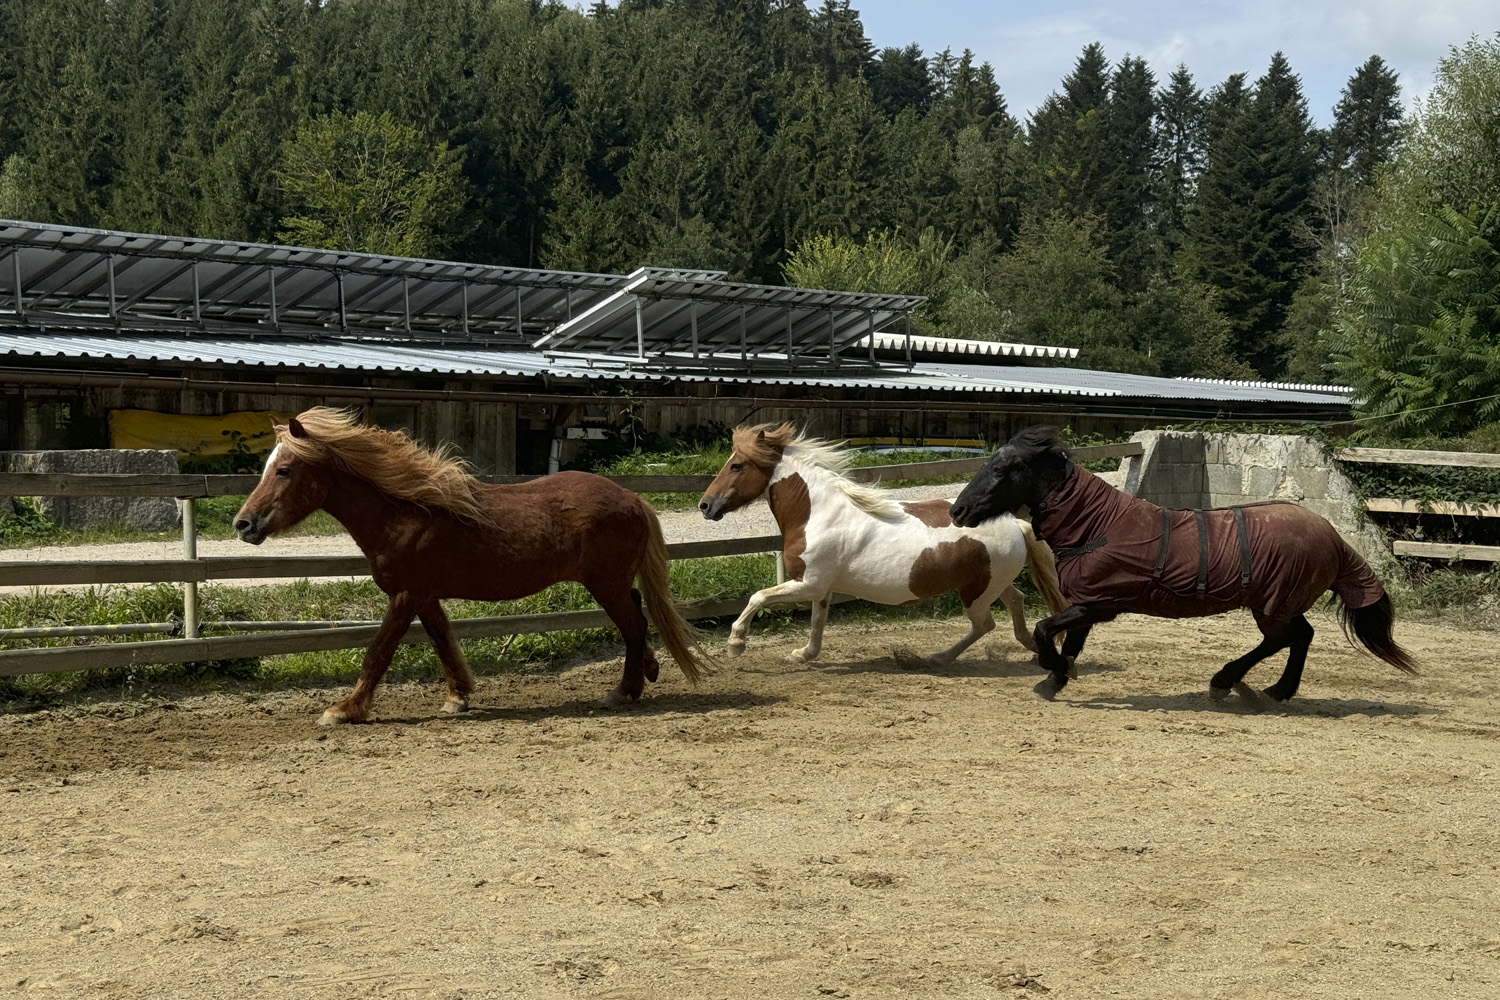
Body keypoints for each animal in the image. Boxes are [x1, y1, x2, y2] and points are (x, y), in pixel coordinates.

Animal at [233, 407, 710, 724]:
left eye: (285, 470)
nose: (244, 524)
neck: (405, 515)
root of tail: (632, 498)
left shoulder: (405, 595)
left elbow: (378, 652)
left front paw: (344, 710)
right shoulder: (423, 596)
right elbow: (444, 642)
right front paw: (458, 697)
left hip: (604, 584)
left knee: (634, 624)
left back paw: (623, 691)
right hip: (613, 582)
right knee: (638, 615)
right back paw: (647, 672)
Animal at [697, 423, 1067, 667]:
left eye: (736, 465)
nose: (705, 505)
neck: (818, 512)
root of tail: (1015, 523)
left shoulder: (807, 582)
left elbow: (758, 597)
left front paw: (735, 644)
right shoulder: (821, 587)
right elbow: (817, 623)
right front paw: (803, 654)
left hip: (976, 593)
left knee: (984, 624)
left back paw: (937, 658)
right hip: (989, 584)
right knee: (1015, 601)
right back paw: (1031, 645)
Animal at [948, 426, 1418, 705]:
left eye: (1003, 468)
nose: (958, 510)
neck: (1099, 525)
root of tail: (1333, 537)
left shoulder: (1099, 603)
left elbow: (1048, 631)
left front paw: (1051, 670)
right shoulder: (1088, 602)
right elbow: (1070, 643)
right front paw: (1055, 680)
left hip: (1272, 603)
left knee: (1283, 639)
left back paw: (1228, 681)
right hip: (1278, 602)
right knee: (1301, 636)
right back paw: (1276, 690)